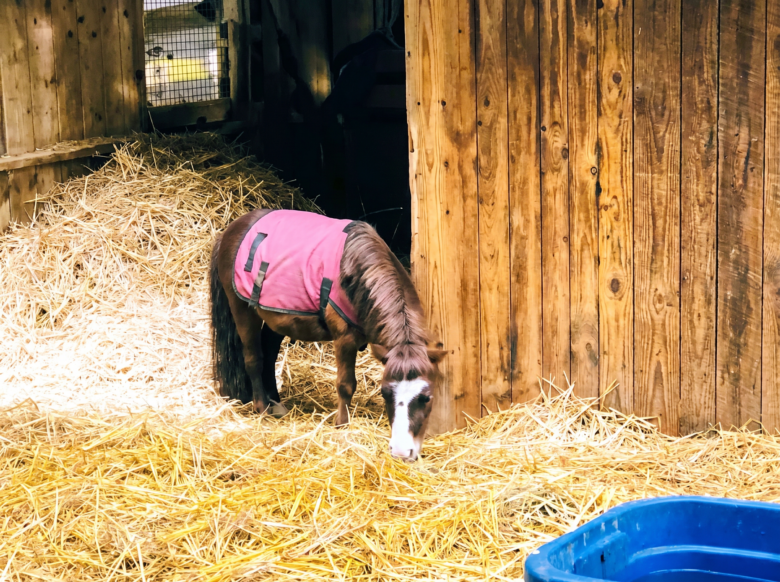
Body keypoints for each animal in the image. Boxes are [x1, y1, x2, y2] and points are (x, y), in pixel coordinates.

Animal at [209, 208, 447, 461]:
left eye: (427, 397)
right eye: (384, 393)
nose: (402, 452)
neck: (356, 274)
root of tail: (230, 230)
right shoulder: (344, 339)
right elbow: (346, 385)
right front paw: (342, 425)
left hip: (276, 318)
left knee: (269, 356)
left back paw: (277, 404)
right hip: (242, 309)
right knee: (254, 359)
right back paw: (262, 408)